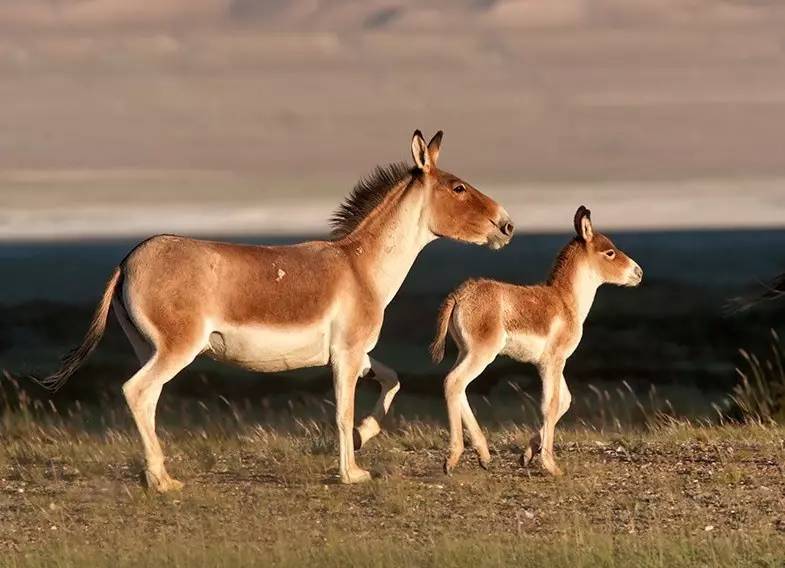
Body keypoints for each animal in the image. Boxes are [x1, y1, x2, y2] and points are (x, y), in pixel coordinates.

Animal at [38, 131, 516, 490]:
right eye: (458, 187)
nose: (508, 224)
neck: (359, 266)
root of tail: (127, 260)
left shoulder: (355, 353)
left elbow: (392, 380)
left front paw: (363, 437)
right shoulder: (346, 355)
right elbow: (342, 410)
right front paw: (352, 473)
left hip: (148, 348)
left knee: (148, 399)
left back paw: (154, 474)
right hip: (177, 348)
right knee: (137, 391)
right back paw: (162, 481)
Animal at [432, 206, 640, 478]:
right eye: (610, 252)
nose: (639, 273)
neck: (565, 302)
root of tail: (460, 295)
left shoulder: (550, 364)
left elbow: (564, 401)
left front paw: (527, 455)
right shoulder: (554, 361)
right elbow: (549, 405)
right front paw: (551, 465)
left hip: (465, 352)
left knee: (459, 387)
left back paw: (484, 456)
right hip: (481, 354)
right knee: (453, 382)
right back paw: (453, 458)